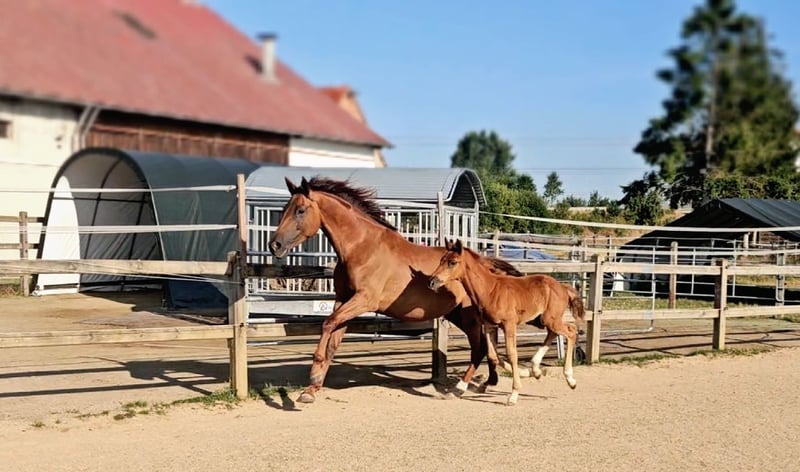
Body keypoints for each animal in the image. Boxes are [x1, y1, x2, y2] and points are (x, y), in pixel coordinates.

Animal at [268, 176, 524, 403]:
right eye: (285, 209)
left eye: (300, 210)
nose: (274, 245)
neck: (362, 248)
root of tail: (487, 264)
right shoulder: (343, 300)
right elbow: (333, 340)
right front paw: (311, 389)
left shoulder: (364, 300)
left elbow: (327, 324)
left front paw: (313, 375)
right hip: (458, 314)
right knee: (486, 346)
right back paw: (487, 382)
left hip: (468, 316)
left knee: (479, 348)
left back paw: (460, 388)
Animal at [428, 239, 585, 405]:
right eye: (441, 260)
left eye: (452, 262)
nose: (431, 282)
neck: (490, 290)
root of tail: (563, 286)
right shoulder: (489, 326)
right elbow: (492, 355)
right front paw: (520, 374)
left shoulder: (509, 325)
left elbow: (512, 354)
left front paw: (514, 394)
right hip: (543, 320)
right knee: (555, 332)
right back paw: (536, 370)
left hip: (550, 319)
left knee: (571, 331)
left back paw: (570, 379)